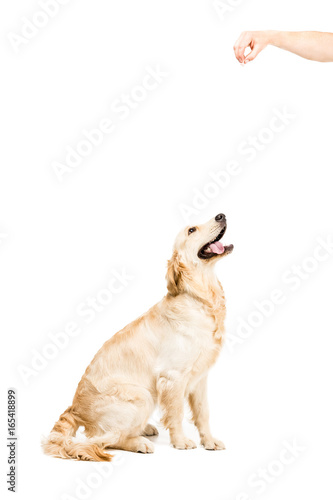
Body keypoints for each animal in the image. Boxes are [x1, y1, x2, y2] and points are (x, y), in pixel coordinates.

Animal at [42, 212, 232, 460]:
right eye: (192, 230)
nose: (221, 215)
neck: (200, 298)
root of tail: (75, 410)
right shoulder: (173, 377)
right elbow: (176, 413)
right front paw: (181, 441)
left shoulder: (200, 378)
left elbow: (203, 412)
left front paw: (209, 440)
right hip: (141, 394)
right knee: (107, 440)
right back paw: (139, 443)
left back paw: (145, 429)